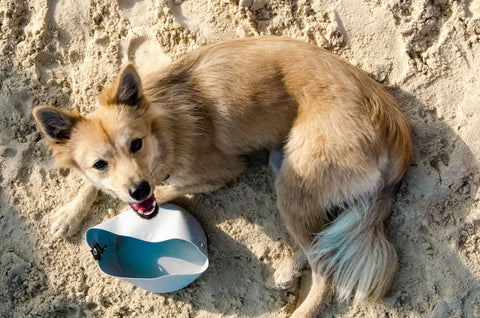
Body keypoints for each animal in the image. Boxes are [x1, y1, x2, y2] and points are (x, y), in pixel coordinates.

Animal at [31, 36, 412, 316]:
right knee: (325, 241)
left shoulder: (223, 171)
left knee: (326, 271)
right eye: (100, 164)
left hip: (293, 181)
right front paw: (70, 214)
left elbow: (171, 188)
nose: (138, 190)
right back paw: (290, 269)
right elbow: (90, 183)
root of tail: (395, 132)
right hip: (284, 164)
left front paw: (132, 205)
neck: (162, 125)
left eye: (136, 144)